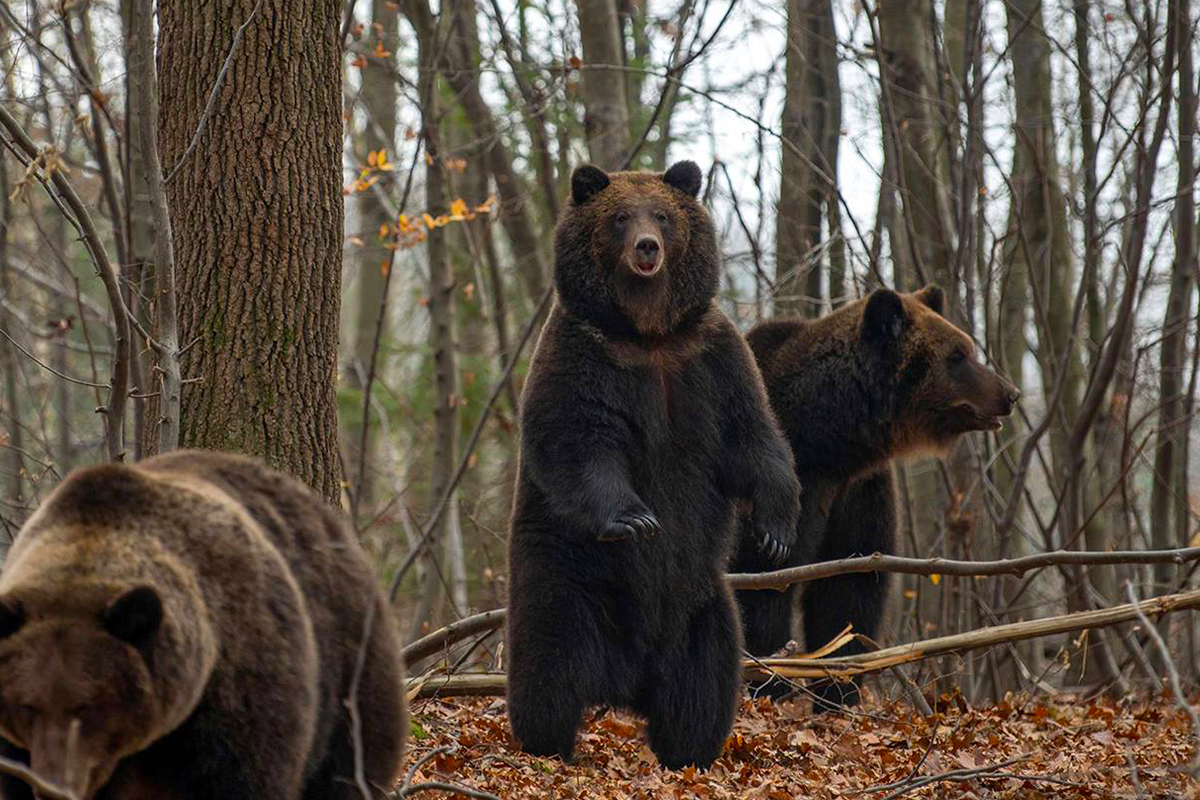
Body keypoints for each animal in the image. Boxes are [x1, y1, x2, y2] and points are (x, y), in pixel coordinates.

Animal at [0, 450, 408, 800]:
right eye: (28, 706)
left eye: (87, 706)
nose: (54, 787)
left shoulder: (240, 684)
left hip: (349, 667)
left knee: (349, 764)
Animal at [501, 160, 801, 767]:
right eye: (620, 216)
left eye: (661, 214)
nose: (646, 247)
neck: (647, 333)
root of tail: (624, 684)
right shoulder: (583, 355)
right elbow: (579, 440)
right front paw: (634, 518)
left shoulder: (711, 359)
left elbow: (754, 438)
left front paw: (776, 531)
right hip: (565, 576)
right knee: (548, 663)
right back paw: (549, 744)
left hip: (700, 605)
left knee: (707, 679)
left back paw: (690, 751)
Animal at [729, 286, 1022, 705]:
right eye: (958, 355)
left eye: (966, 348)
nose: (1010, 394)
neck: (827, 439)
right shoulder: (787, 485)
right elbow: (764, 584)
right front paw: (771, 682)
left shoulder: (858, 493)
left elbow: (850, 590)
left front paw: (839, 688)